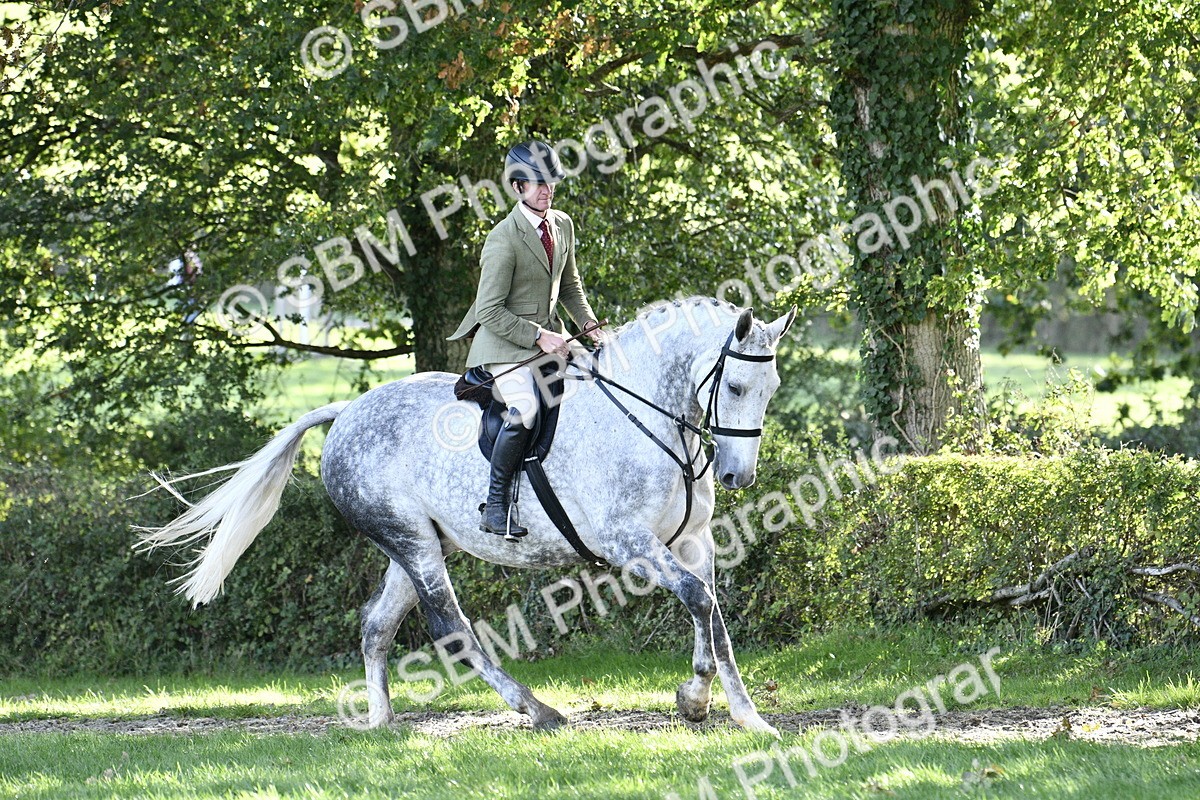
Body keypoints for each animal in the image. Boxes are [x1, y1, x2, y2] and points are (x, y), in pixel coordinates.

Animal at [137, 297, 796, 737]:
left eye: (770, 388)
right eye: (736, 387)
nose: (738, 477)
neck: (648, 418)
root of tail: (347, 412)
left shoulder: (691, 541)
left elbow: (710, 613)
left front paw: (729, 709)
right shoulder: (627, 542)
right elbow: (700, 602)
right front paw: (710, 703)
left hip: (418, 546)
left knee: (376, 624)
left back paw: (380, 719)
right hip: (413, 544)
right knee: (450, 628)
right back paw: (536, 708)